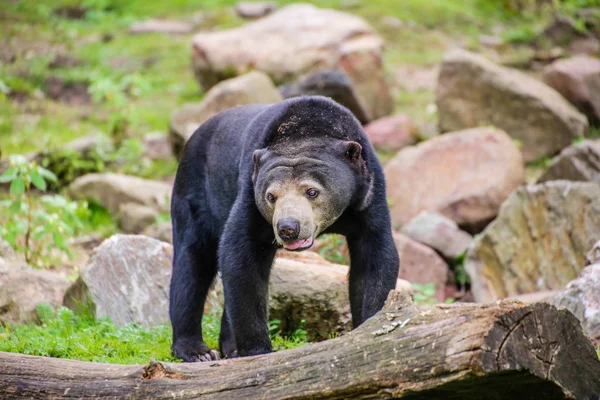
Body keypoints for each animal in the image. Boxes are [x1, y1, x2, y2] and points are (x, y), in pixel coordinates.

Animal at [169, 95, 400, 360]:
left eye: (312, 192)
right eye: (271, 196)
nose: (288, 228)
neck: (305, 133)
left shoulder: (369, 196)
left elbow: (374, 258)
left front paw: (371, 328)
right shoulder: (250, 192)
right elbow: (240, 256)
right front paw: (257, 350)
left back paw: (228, 346)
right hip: (193, 194)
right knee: (192, 263)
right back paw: (196, 351)